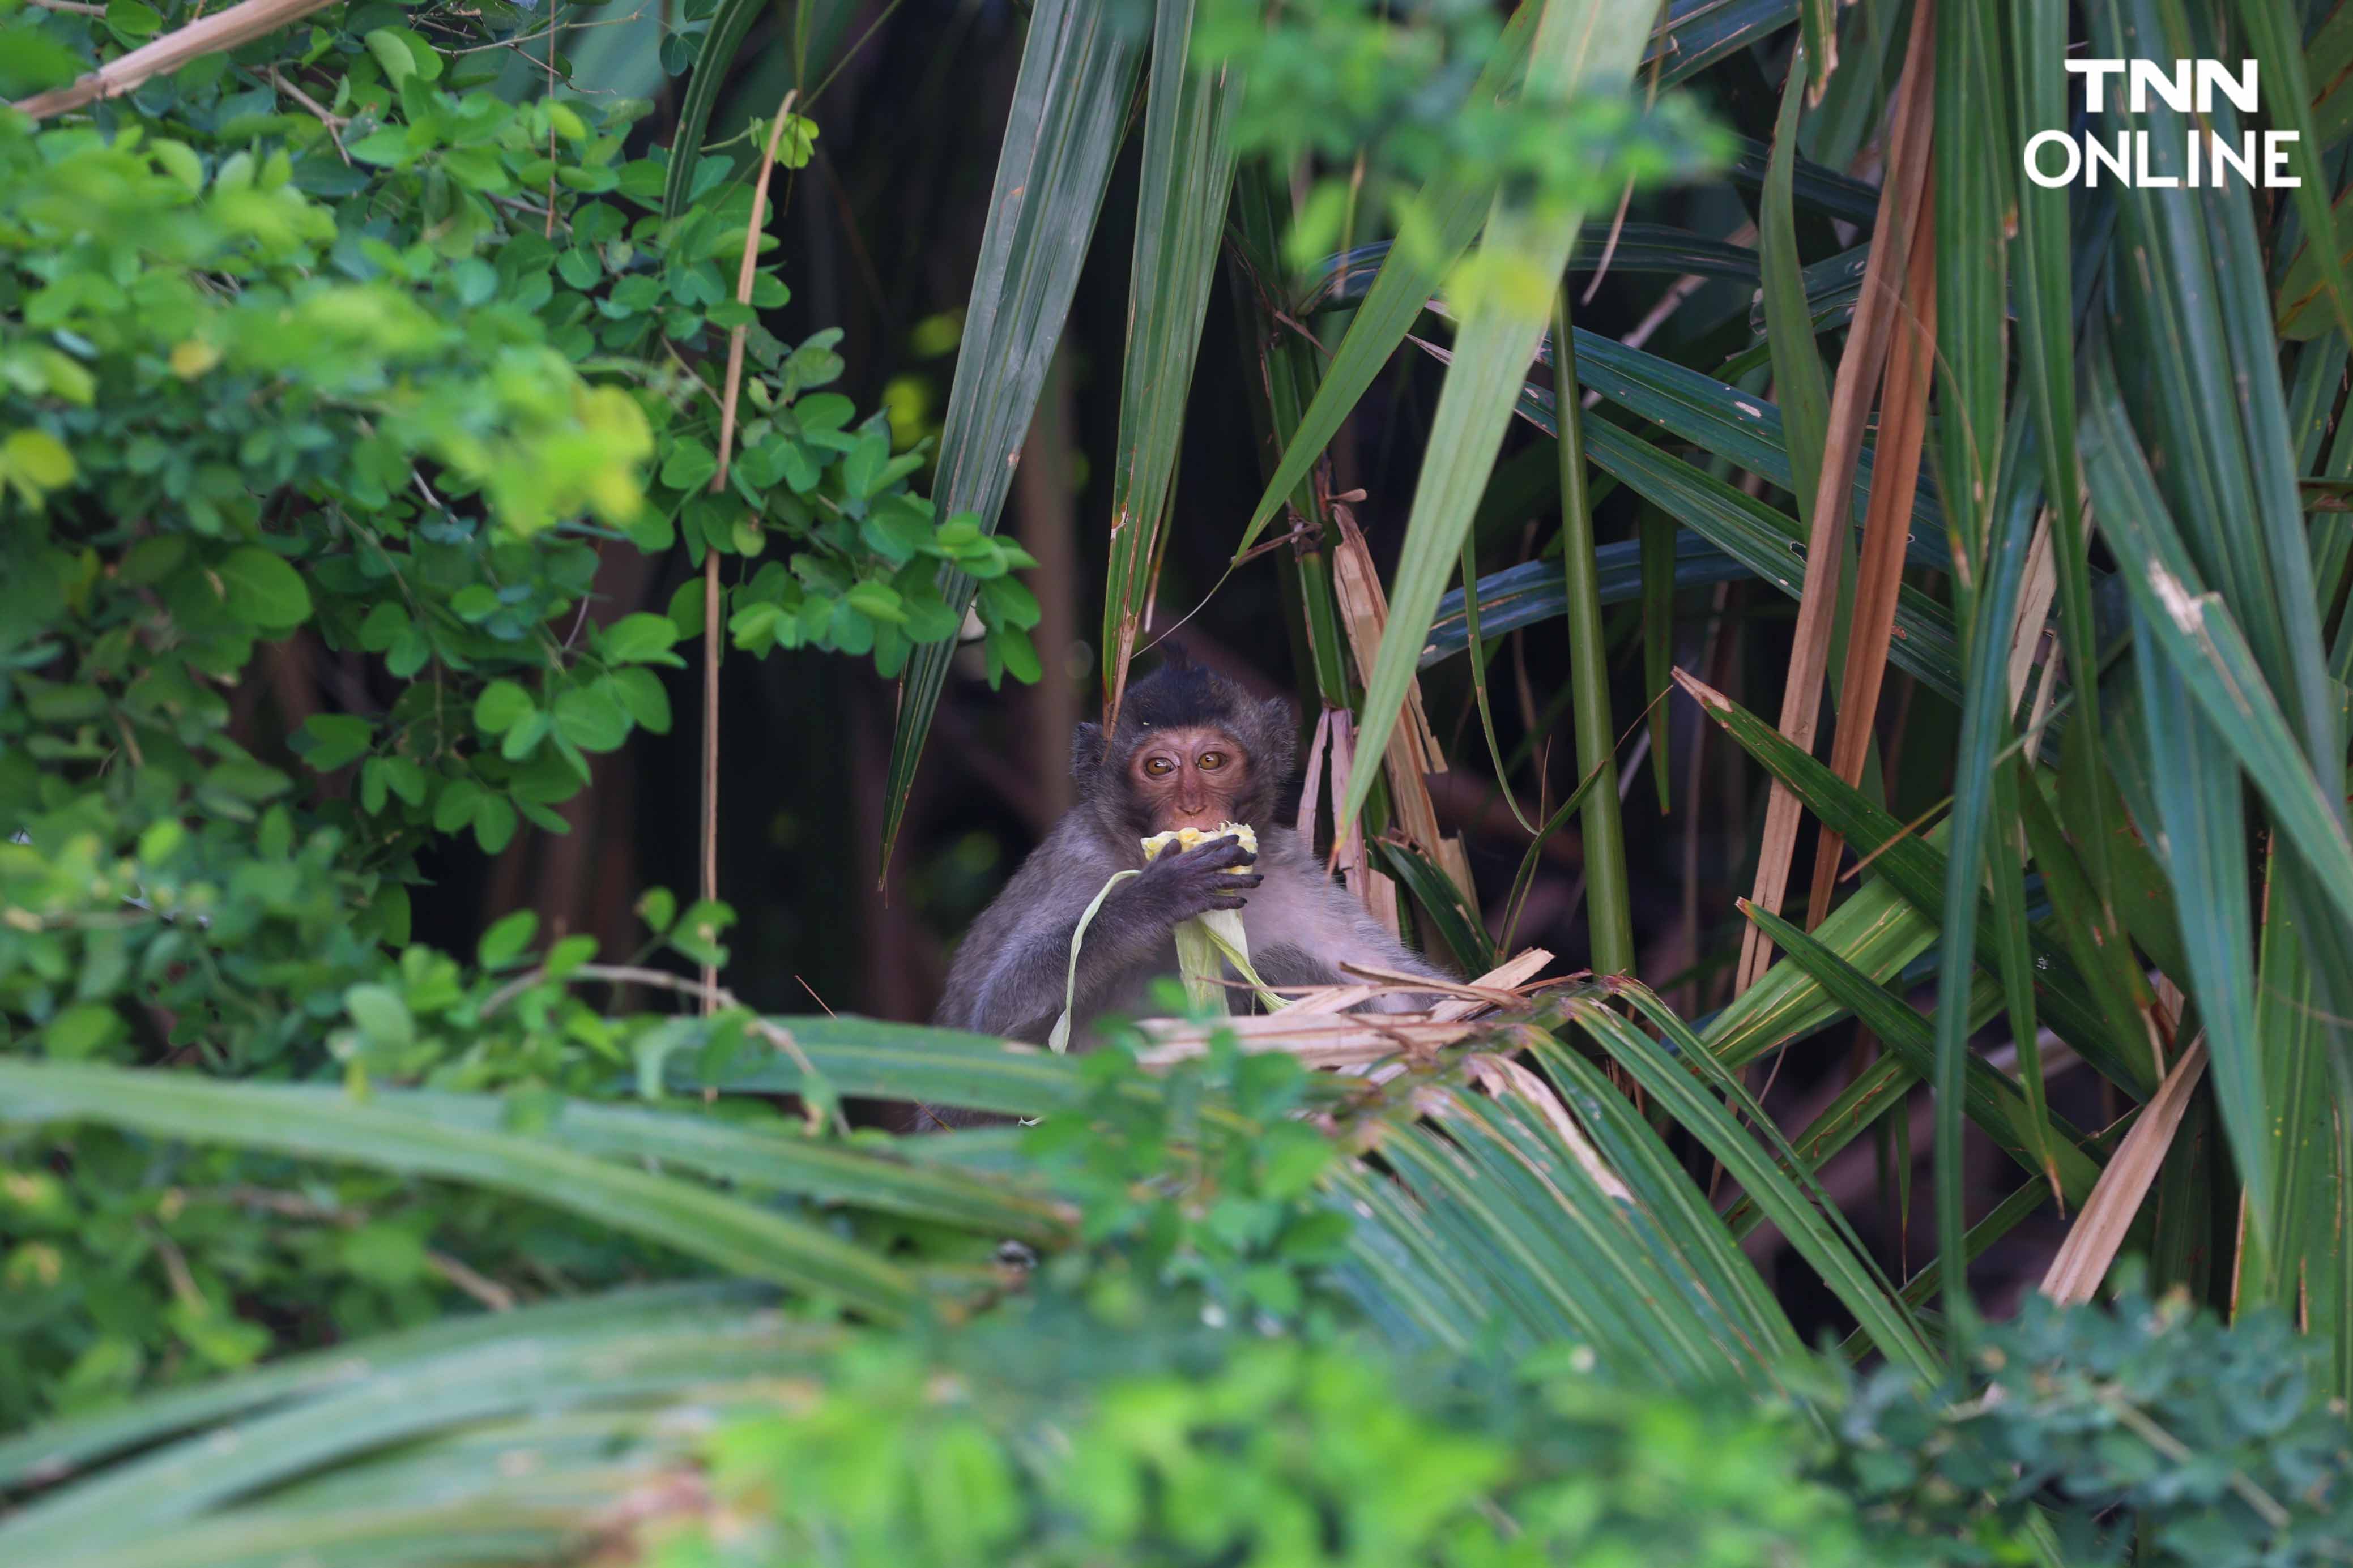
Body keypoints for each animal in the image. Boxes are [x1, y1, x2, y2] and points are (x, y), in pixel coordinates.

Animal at [922, 653, 1449, 1128]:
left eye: (1211, 760)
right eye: (1159, 767)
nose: (1192, 807)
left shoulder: (1288, 866)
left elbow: (1410, 999)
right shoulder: (1080, 858)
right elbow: (993, 1022)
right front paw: (1156, 899)